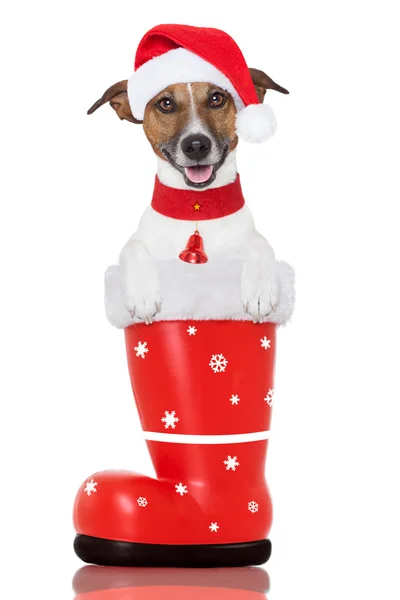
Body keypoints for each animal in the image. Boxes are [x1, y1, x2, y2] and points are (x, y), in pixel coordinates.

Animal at [88, 48, 294, 328]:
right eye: (165, 104)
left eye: (217, 98)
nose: (196, 145)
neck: (196, 210)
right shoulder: (140, 241)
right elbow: (132, 247)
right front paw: (143, 294)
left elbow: (262, 244)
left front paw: (260, 289)